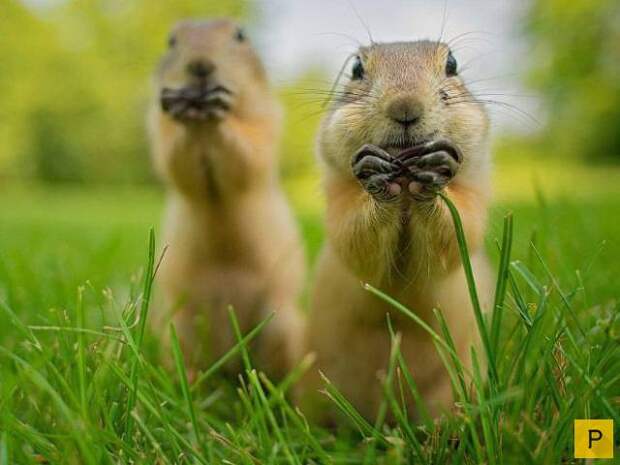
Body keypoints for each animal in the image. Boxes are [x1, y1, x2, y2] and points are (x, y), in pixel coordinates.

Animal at [150, 20, 306, 378]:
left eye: (240, 35)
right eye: (171, 40)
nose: (200, 65)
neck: (203, 127)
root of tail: (229, 361)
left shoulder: (267, 120)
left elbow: (250, 152)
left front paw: (220, 108)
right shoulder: (159, 127)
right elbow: (174, 158)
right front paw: (180, 105)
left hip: (282, 322)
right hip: (177, 328)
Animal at [300, 40, 494, 422]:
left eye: (452, 63)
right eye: (357, 69)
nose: (405, 106)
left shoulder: (474, 193)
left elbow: (458, 232)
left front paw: (435, 171)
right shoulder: (338, 199)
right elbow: (354, 240)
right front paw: (375, 173)